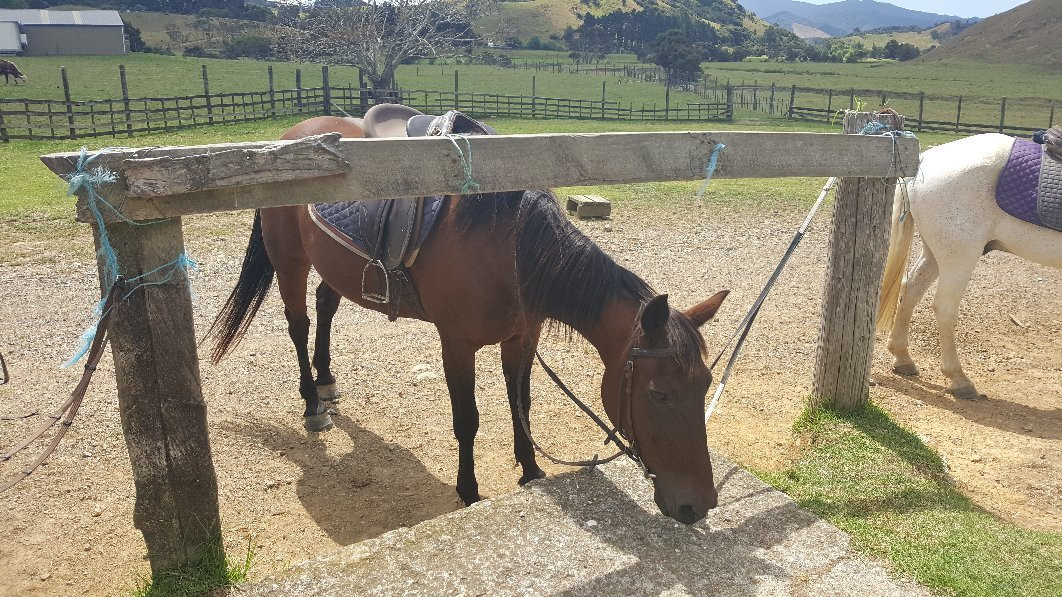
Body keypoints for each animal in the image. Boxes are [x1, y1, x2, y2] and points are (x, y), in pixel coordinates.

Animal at [208, 114, 730, 524]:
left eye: (706, 384)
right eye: (659, 394)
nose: (698, 505)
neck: (510, 251)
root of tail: (294, 134)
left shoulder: (522, 338)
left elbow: (522, 405)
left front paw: (531, 472)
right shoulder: (456, 344)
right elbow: (468, 420)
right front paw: (470, 491)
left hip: (336, 268)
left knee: (324, 307)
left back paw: (327, 378)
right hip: (289, 261)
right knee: (297, 323)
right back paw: (313, 402)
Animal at [877, 132, 1062, 400]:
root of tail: (924, 160)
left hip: (935, 254)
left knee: (911, 289)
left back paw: (903, 358)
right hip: (960, 256)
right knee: (944, 308)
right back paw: (959, 379)